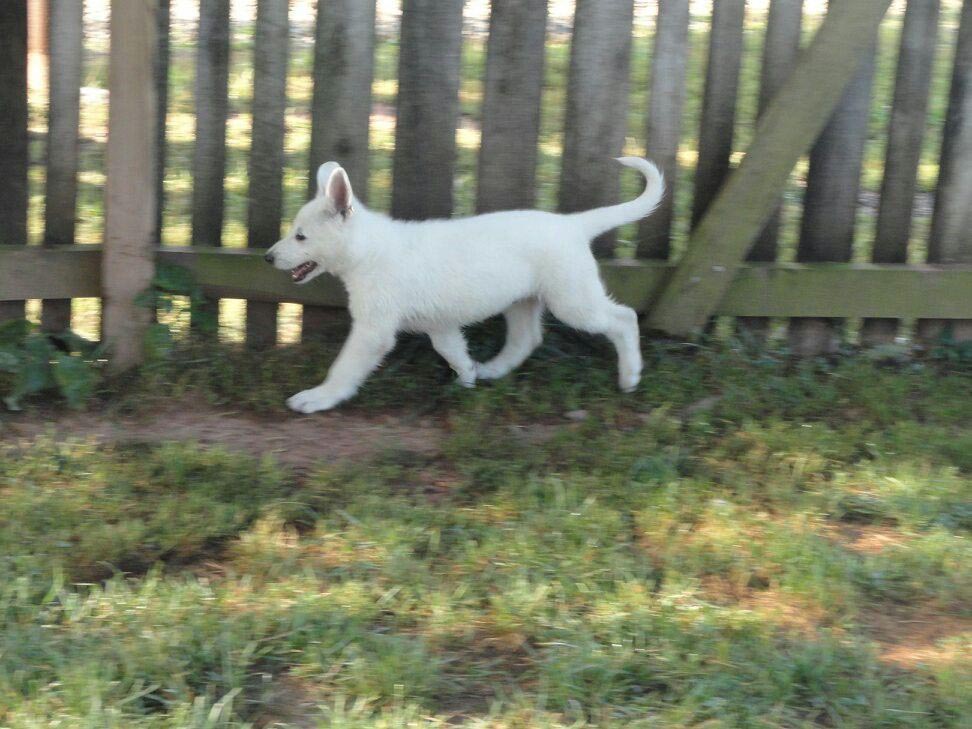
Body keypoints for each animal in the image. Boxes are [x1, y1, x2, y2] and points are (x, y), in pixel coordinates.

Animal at [262, 157, 664, 412]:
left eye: (300, 236)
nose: (267, 257)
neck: (368, 250)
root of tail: (572, 224)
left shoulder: (373, 330)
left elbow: (343, 368)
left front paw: (319, 397)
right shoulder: (441, 325)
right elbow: (452, 351)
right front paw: (468, 377)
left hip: (574, 302)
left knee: (624, 318)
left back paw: (630, 376)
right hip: (522, 301)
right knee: (526, 339)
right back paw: (493, 370)